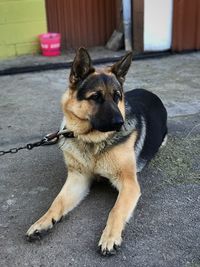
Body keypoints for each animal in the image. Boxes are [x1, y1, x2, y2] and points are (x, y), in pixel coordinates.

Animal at [26, 47, 167, 255]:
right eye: (95, 97)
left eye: (117, 96)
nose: (120, 123)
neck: (92, 141)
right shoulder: (78, 179)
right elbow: (57, 202)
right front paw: (42, 221)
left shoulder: (129, 184)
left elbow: (116, 210)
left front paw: (110, 237)